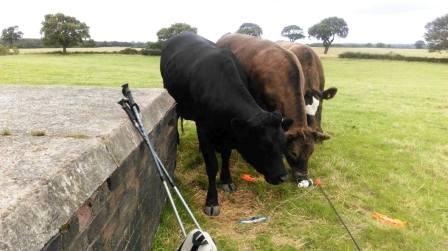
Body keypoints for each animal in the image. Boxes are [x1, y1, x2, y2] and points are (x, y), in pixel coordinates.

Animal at [159, 32, 288, 216]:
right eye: (264, 146)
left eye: (283, 144)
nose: (283, 177)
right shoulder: (203, 129)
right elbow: (212, 165)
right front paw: (212, 201)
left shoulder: (230, 132)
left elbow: (226, 155)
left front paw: (226, 180)